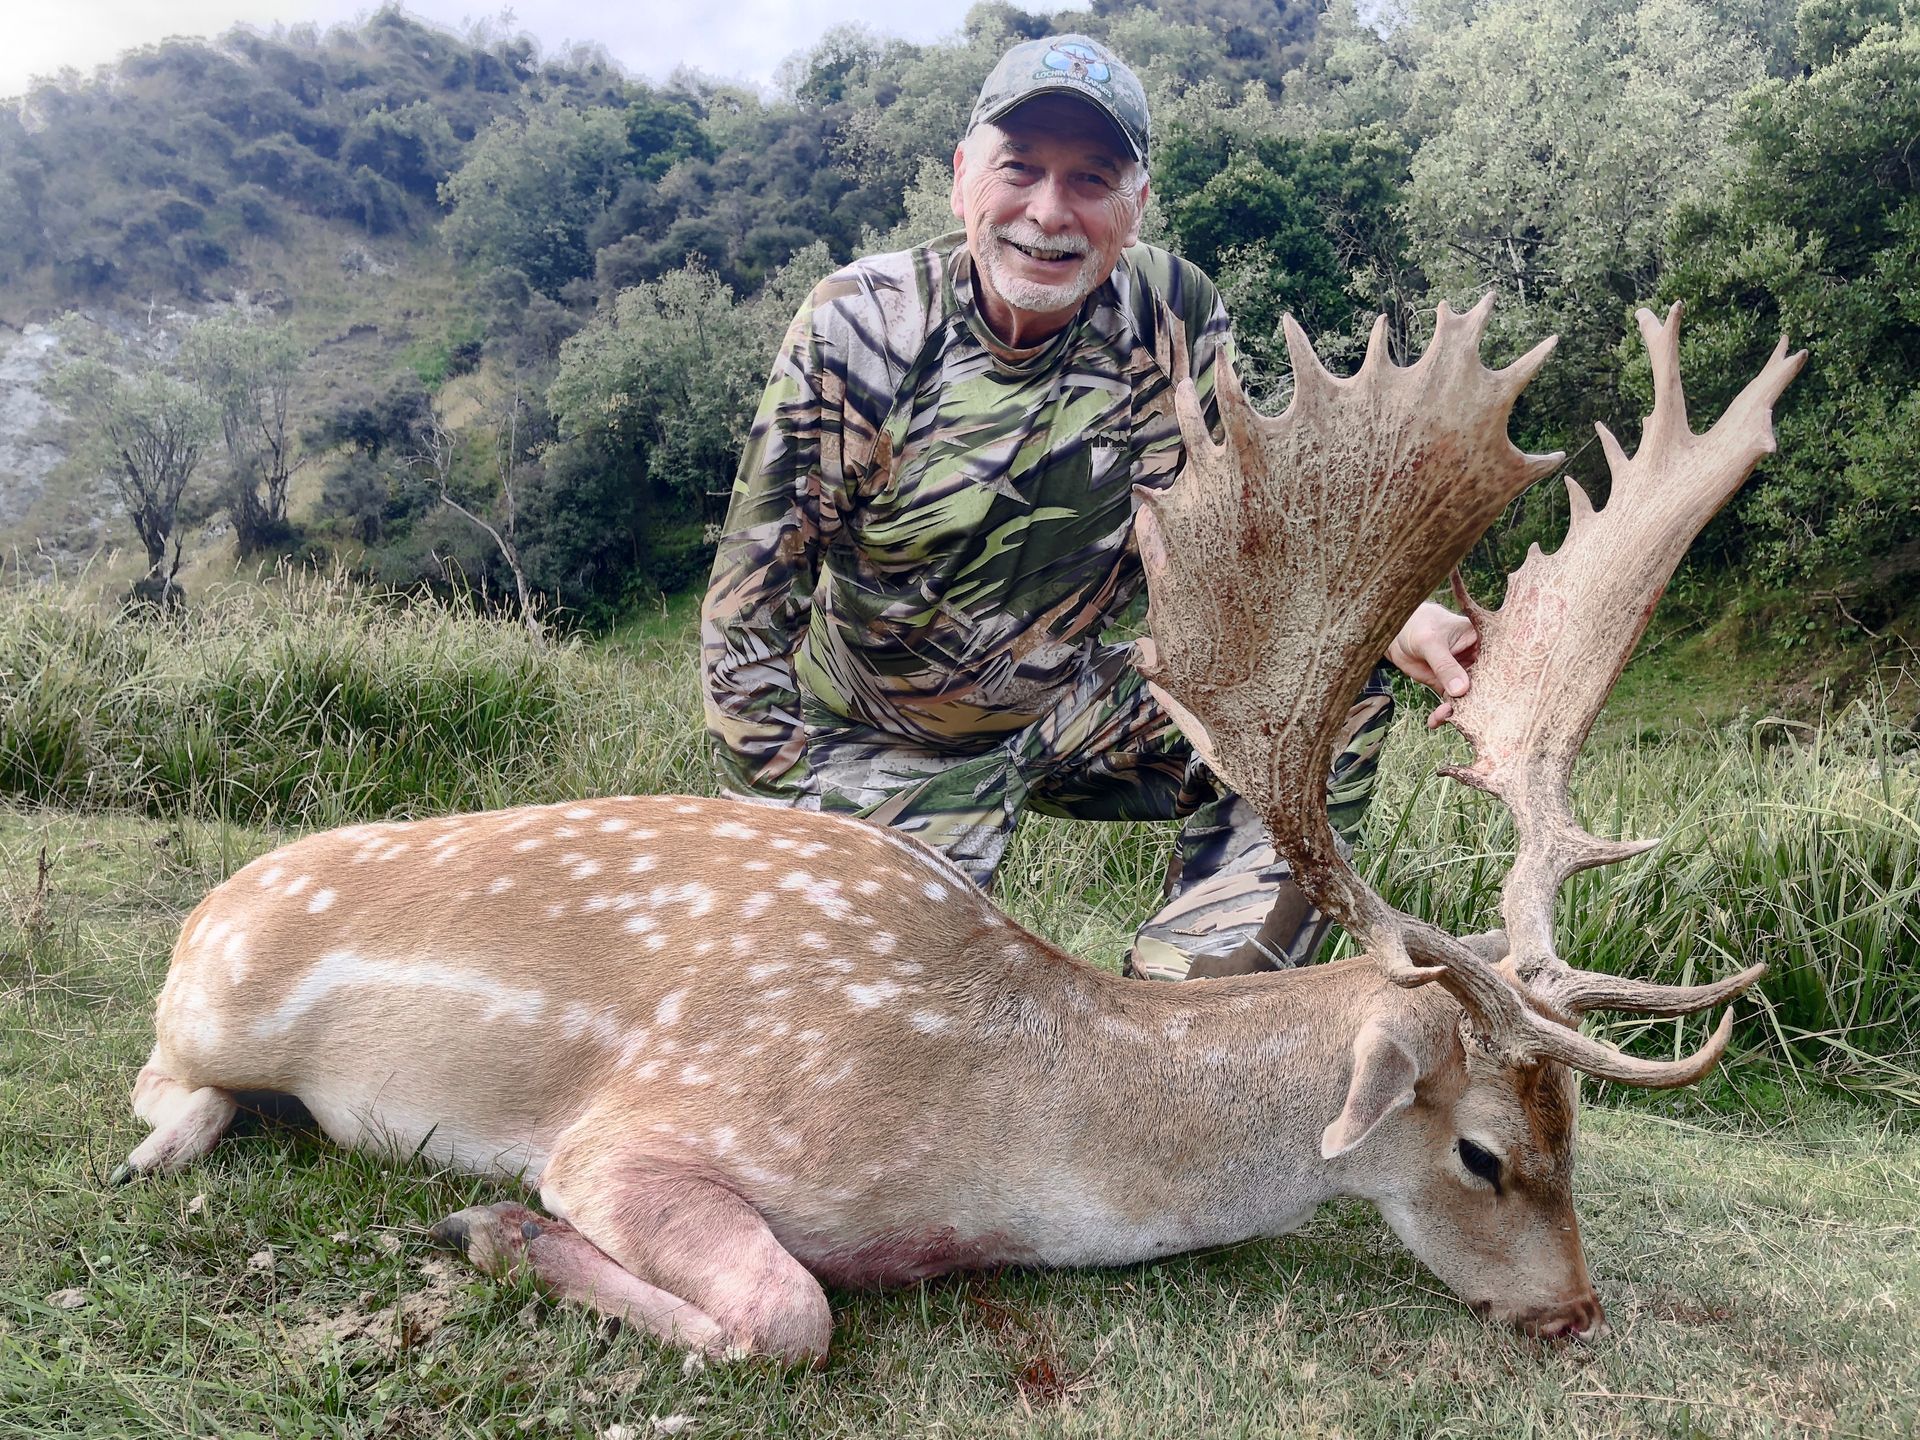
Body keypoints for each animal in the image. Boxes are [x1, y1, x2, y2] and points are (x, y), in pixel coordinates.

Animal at [116, 298, 1803, 1365]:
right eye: (1483, 1154)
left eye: (1579, 1135)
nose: (1575, 1311)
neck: (1011, 1131)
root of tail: (205, 906)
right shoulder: (647, 1132)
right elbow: (790, 1315)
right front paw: (493, 1231)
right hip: (215, 1001)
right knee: (167, 1075)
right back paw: (170, 1142)